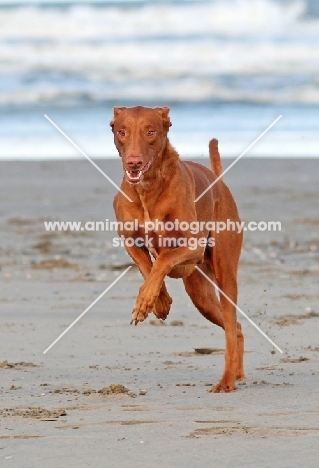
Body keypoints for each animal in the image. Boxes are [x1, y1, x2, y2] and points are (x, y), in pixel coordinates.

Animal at [110, 106, 245, 392]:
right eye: (122, 132)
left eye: (151, 132)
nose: (133, 162)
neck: (148, 189)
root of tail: (218, 182)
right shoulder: (129, 240)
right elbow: (147, 266)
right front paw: (159, 302)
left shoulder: (191, 244)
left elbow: (162, 260)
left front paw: (146, 301)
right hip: (201, 295)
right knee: (236, 328)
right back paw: (237, 374)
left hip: (225, 275)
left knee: (231, 326)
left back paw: (226, 381)